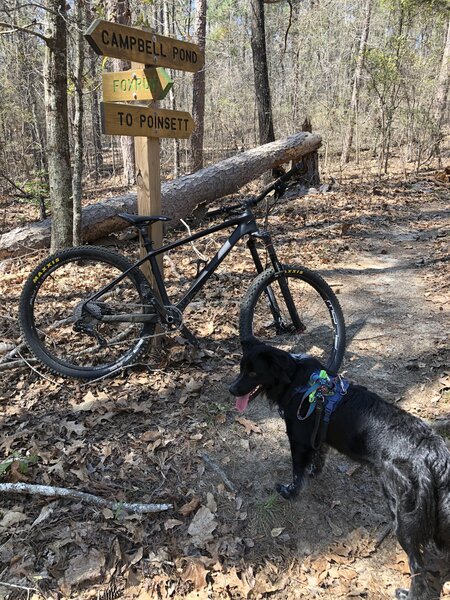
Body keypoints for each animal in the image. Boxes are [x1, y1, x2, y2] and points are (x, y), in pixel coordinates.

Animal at [230, 338, 448, 600]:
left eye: (253, 372)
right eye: (241, 368)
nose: (231, 389)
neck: (296, 381)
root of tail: (431, 449)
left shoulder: (298, 440)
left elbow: (297, 472)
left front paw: (290, 492)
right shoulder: (318, 436)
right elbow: (319, 457)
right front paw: (313, 472)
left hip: (404, 519)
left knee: (418, 569)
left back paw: (409, 593)